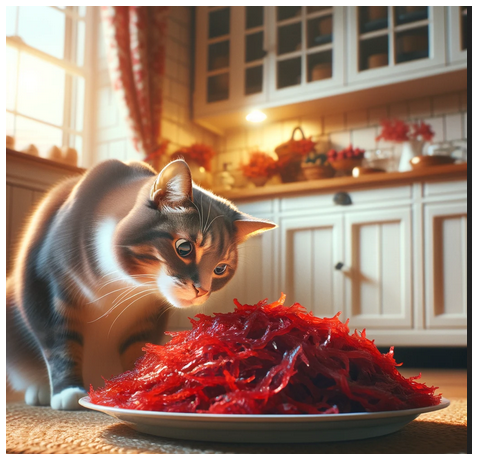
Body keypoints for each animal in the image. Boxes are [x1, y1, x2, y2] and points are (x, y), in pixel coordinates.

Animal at [6, 159, 276, 410]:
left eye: (220, 269)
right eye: (184, 248)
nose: (202, 290)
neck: (123, 284)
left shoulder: (148, 316)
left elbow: (138, 350)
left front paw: (140, 385)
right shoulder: (46, 285)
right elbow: (60, 342)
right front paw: (68, 392)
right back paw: (41, 391)